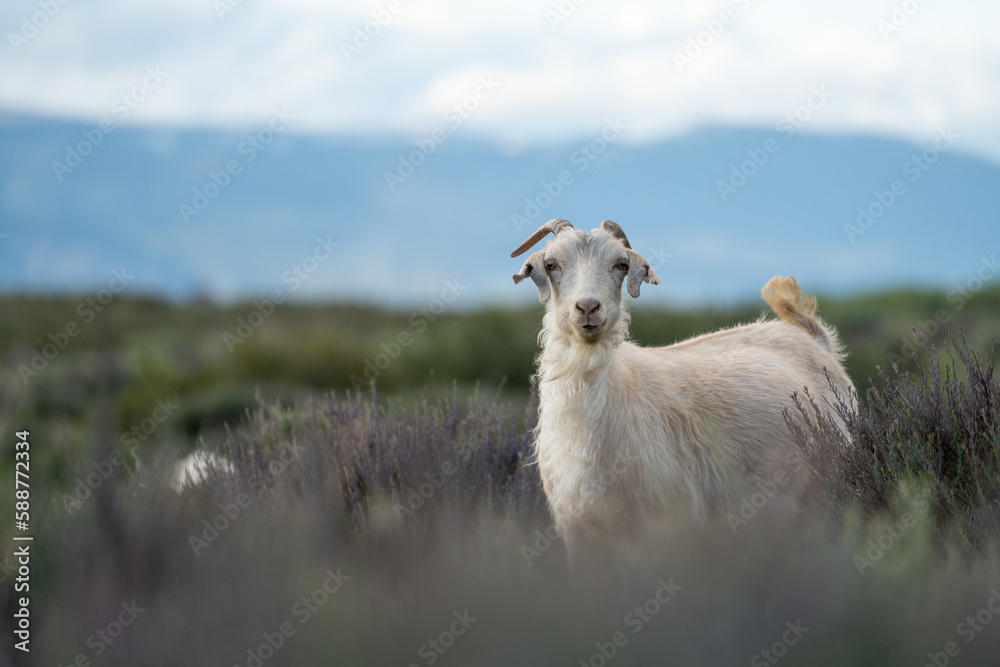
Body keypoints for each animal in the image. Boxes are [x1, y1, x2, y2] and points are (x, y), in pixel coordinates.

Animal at [511, 219, 854, 567]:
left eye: (621, 264)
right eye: (551, 264)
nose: (588, 307)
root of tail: (815, 339)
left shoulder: (666, 524)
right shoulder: (578, 532)